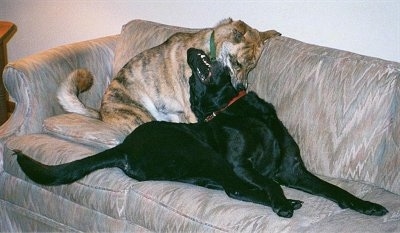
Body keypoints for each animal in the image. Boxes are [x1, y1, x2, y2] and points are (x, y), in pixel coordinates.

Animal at [15, 48, 388, 218]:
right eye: (191, 79)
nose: (192, 52)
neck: (237, 108)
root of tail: (124, 147)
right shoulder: (240, 164)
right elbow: (269, 183)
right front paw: (281, 201)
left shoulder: (294, 170)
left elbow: (334, 189)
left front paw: (366, 205)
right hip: (200, 152)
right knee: (236, 190)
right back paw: (284, 202)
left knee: (236, 191)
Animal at [57, 18, 282, 135]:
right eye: (238, 64)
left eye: (252, 68)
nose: (242, 88)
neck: (209, 51)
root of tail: (101, 113)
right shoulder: (192, 112)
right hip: (141, 116)